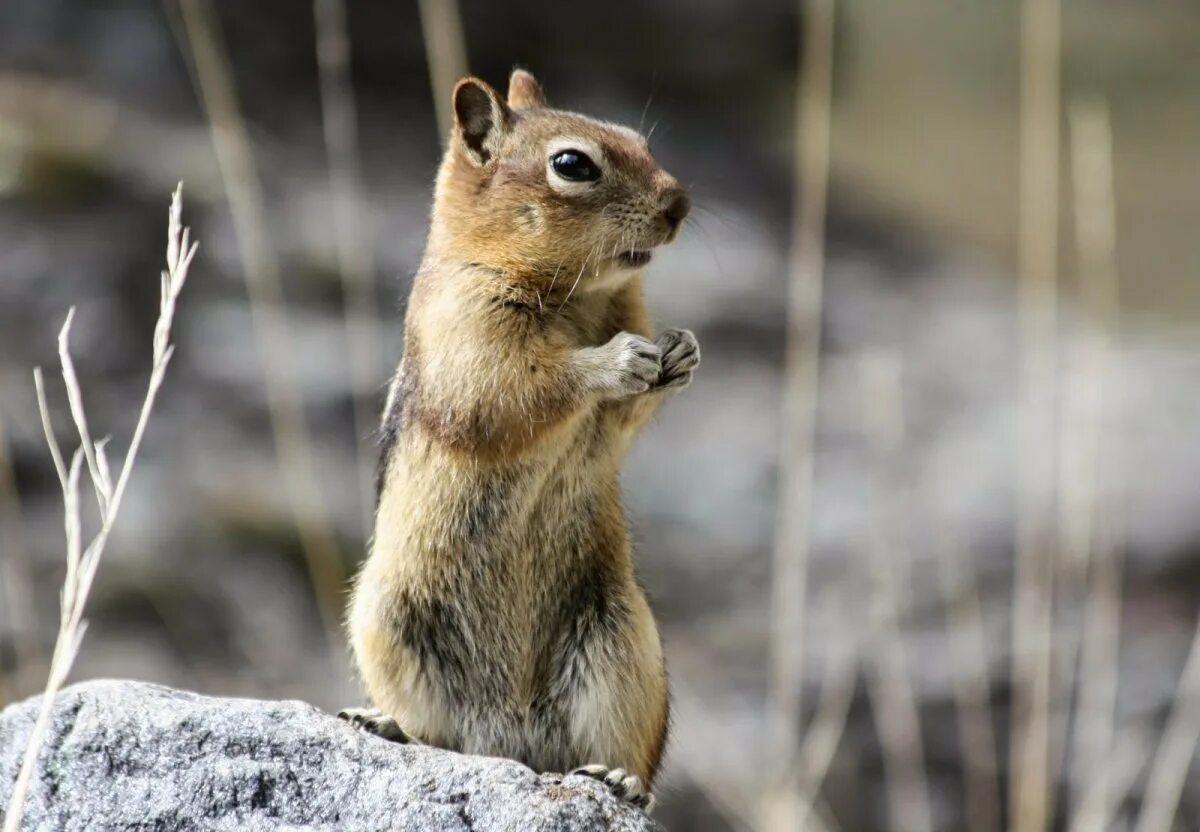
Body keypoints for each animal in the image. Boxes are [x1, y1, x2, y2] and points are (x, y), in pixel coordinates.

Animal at [340, 68, 696, 806]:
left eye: (639, 139)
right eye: (573, 165)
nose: (680, 204)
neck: (580, 296)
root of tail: (512, 742)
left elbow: (625, 416)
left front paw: (682, 351)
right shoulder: (469, 329)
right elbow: (514, 392)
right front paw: (613, 361)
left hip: (622, 643)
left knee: (620, 752)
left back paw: (618, 778)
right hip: (386, 621)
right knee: (440, 737)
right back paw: (385, 724)